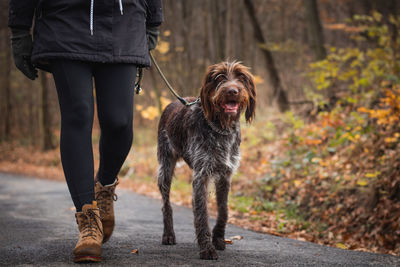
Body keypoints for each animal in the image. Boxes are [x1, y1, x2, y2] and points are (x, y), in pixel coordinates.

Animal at [156, 61, 256, 260]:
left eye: (241, 77)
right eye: (219, 78)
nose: (232, 91)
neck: (222, 128)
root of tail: (173, 102)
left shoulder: (225, 174)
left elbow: (223, 210)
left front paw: (218, 239)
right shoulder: (201, 175)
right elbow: (202, 213)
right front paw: (206, 248)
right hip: (165, 168)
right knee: (166, 204)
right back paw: (168, 234)